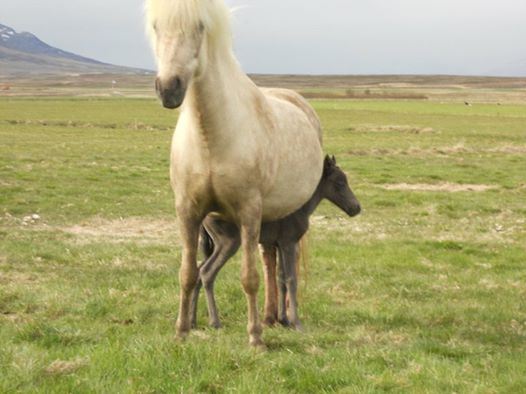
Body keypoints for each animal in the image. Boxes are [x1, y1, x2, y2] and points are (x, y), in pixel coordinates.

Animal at [146, 0, 324, 346]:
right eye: (157, 27)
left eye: (200, 27)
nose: (169, 89)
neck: (210, 139)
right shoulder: (187, 211)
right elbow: (188, 273)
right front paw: (182, 331)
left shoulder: (248, 211)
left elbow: (249, 277)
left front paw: (255, 338)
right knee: (270, 261)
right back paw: (272, 317)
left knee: (284, 268)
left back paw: (287, 319)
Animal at [191, 155, 364, 330]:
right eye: (340, 182)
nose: (356, 208)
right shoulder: (289, 243)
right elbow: (291, 279)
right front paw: (296, 323)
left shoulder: (279, 244)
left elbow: (281, 278)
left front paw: (284, 320)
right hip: (228, 243)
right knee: (206, 272)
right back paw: (215, 322)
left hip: (216, 245)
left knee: (198, 271)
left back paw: (192, 321)